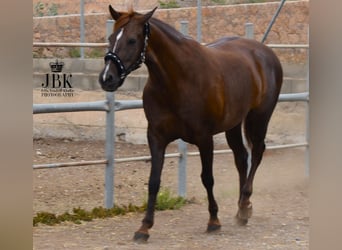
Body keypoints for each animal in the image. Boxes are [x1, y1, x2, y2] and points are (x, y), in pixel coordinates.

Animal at [97, 5, 282, 240]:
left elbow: (207, 178)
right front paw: (144, 227)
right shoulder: (156, 137)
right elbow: (154, 181)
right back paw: (242, 209)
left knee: (257, 153)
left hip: (259, 118)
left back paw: (245, 204)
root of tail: (265, 52)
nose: (107, 78)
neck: (178, 80)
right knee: (241, 158)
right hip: (233, 123)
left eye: (131, 40)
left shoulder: (204, 138)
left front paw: (213, 221)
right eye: (111, 38)